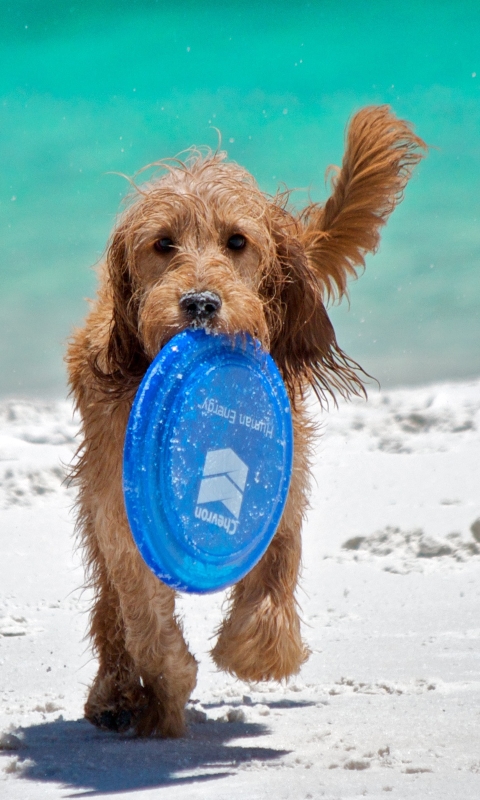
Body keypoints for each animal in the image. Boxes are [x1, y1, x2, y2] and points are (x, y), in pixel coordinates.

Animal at [66, 104, 424, 736]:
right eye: (163, 244)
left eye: (237, 241)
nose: (201, 303)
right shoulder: (121, 510)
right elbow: (143, 615)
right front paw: (169, 687)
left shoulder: (283, 484)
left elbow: (276, 573)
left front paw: (255, 654)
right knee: (109, 607)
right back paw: (115, 693)